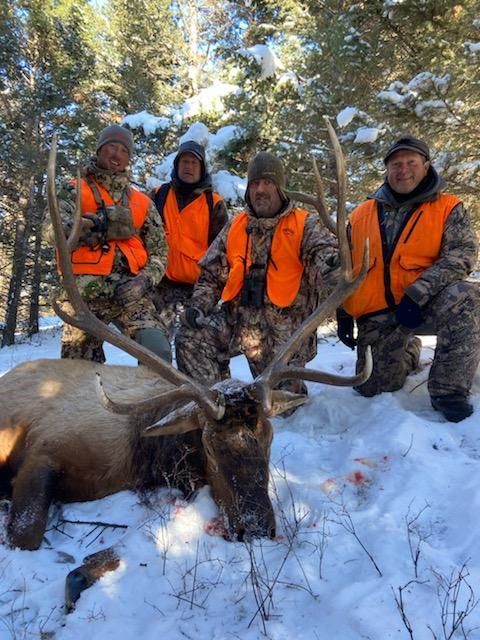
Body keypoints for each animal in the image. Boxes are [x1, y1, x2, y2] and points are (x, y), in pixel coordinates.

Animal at [0, 119, 371, 566]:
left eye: (268, 437)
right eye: (208, 445)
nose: (256, 527)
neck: (138, 455)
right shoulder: (45, 447)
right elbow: (26, 534)